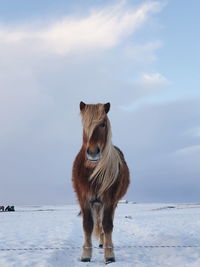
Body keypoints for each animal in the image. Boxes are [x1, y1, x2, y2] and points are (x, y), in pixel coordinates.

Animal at [72, 102, 130, 264]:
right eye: (84, 124)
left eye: (103, 124)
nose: (92, 152)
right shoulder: (85, 199)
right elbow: (87, 225)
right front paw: (86, 255)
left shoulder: (109, 200)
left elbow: (108, 225)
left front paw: (109, 254)